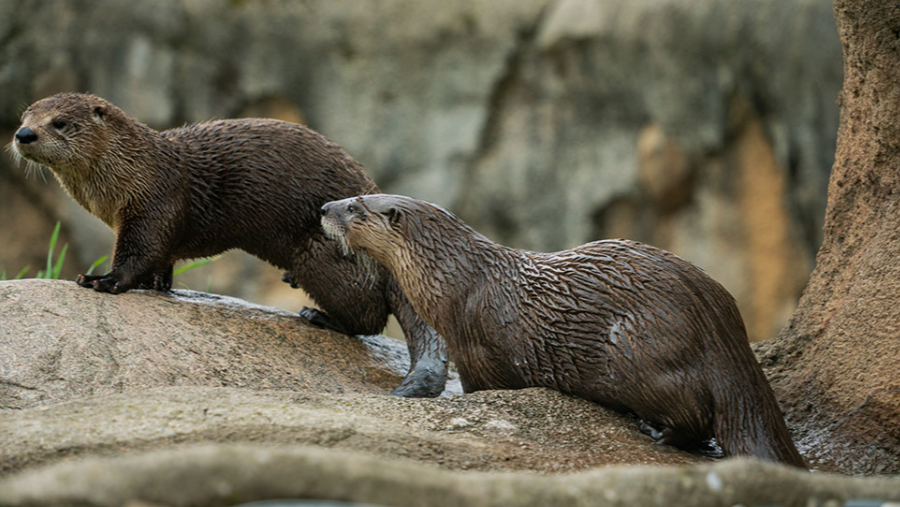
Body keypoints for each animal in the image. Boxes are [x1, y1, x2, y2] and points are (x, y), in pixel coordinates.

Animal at [10, 93, 447, 398]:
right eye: (23, 116)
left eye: (60, 122)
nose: (23, 134)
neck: (130, 174)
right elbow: (162, 259)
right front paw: (158, 285)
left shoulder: (153, 205)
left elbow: (140, 253)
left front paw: (103, 280)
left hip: (321, 252)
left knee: (368, 315)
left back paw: (318, 316)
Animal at [320, 194, 807, 468]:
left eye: (354, 207)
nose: (323, 208)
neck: (458, 282)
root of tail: (721, 325)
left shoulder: (477, 351)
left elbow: (485, 388)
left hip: (638, 350)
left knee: (695, 414)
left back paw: (655, 431)